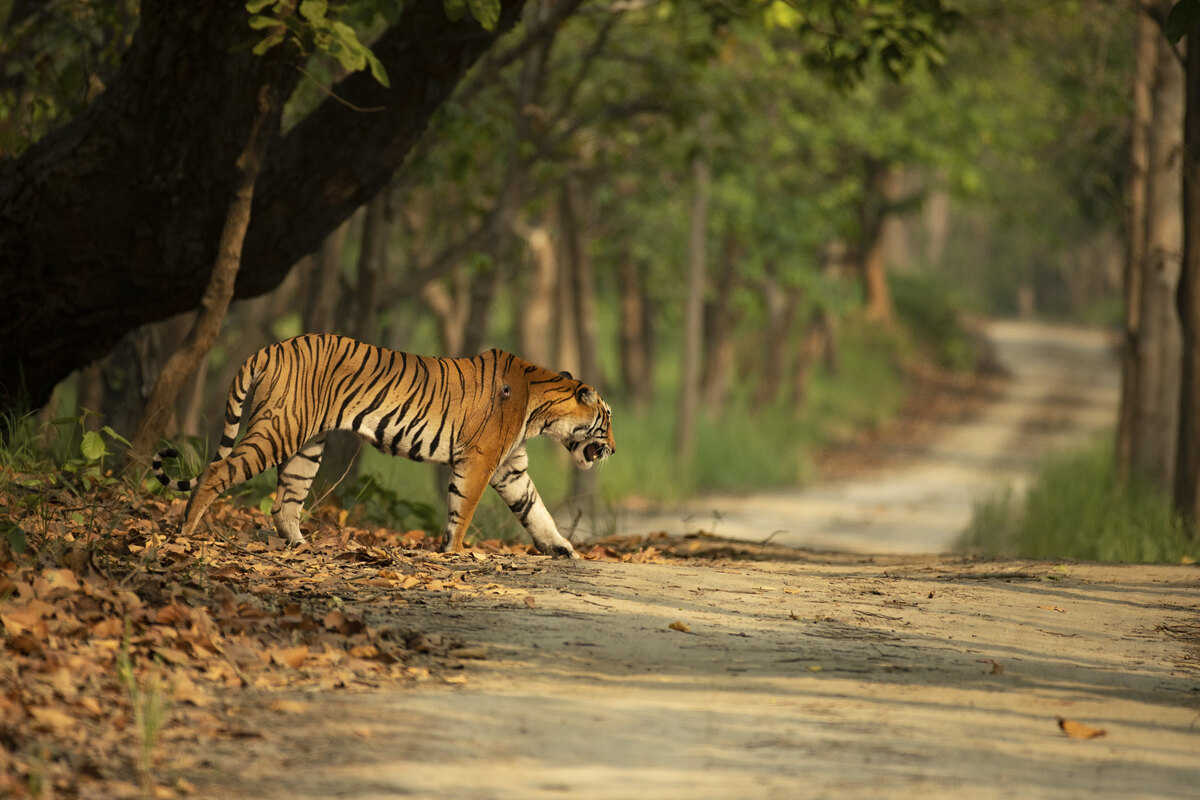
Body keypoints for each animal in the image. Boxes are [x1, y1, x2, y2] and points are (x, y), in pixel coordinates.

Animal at [151, 331, 614, 556]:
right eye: (607, 423)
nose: (612, 449)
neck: (541, 410)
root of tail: (272, 347)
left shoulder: (510, 467)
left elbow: (535, 509)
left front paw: (561, 548)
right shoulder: (481, 460)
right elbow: (463, 508)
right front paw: (455, 552)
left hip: (306, 446)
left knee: (285, 502)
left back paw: (302, 546)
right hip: (279, 429)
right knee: (217, 471)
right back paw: (186, 532)